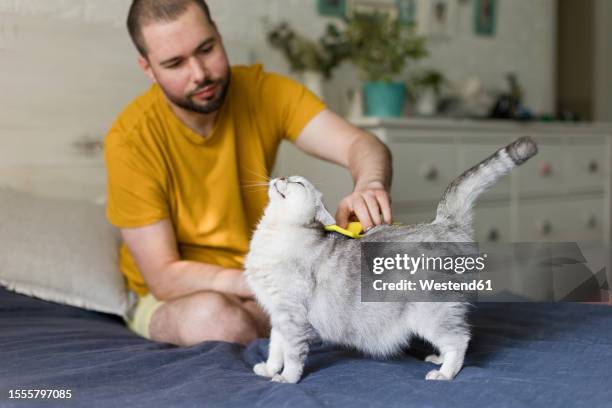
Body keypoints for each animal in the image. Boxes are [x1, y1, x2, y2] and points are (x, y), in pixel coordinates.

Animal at [244, 136, 536, 382]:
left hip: (430, 313)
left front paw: (286, 379)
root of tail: (444, 223)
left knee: (460, 339)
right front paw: (269, 369)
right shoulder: (278, 316)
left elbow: (293, 355)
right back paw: (438, 359)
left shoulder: (293, 317)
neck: (273, 234)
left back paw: (445, 373)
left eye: (298, 183)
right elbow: (275, 349)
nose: (281, 176)